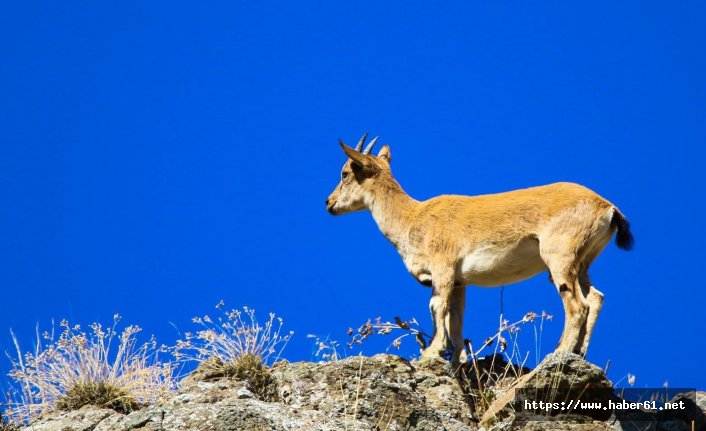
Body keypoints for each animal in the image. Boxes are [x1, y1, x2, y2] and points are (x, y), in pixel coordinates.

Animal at [326, 134, 632, 364]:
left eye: (344, 173)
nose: (329, 203)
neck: (413, 218)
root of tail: (607, 207)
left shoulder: (443, 268)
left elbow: (437, 306)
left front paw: (431, 353)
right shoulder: (460, 282)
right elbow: (456, 319)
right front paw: (456, 360)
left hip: (558, 257)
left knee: (578, 304)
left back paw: (559, 353)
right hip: (582, 262)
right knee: (596, 297)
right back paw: (579, 353)